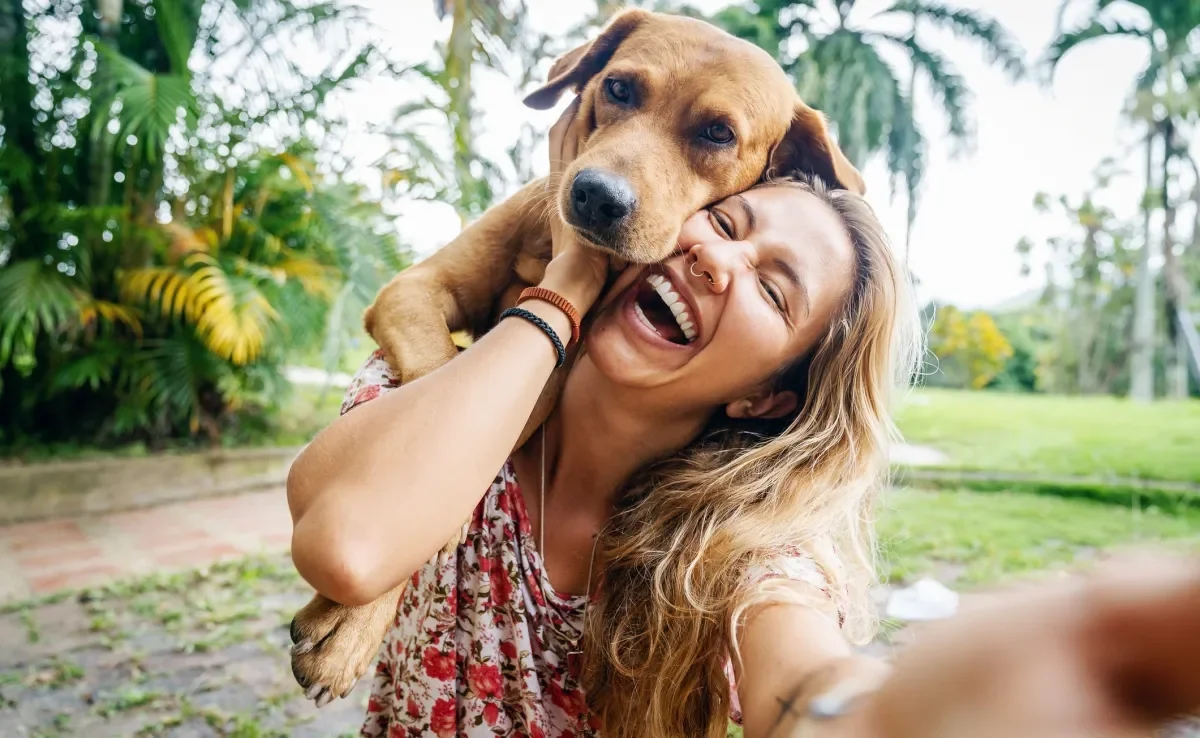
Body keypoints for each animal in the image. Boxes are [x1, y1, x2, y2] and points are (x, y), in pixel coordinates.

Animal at [289, 8, 864, 705]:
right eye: (619, 88)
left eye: (719, 132)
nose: (596, 196)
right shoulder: (414, 290)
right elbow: (434, 375)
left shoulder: (546, 375)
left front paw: (349, 625)